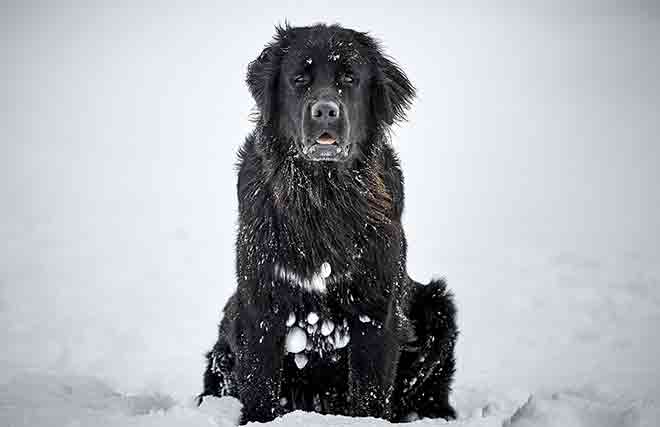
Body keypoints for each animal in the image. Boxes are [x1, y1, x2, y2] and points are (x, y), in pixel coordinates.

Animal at [199, 23, 456, 424]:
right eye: (299, 79)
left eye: (349, 78)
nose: (325, 111)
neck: (321, 194)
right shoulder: (261, 303)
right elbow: (260, 386)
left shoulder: (375, 309)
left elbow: (369, 392)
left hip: (437, 305)